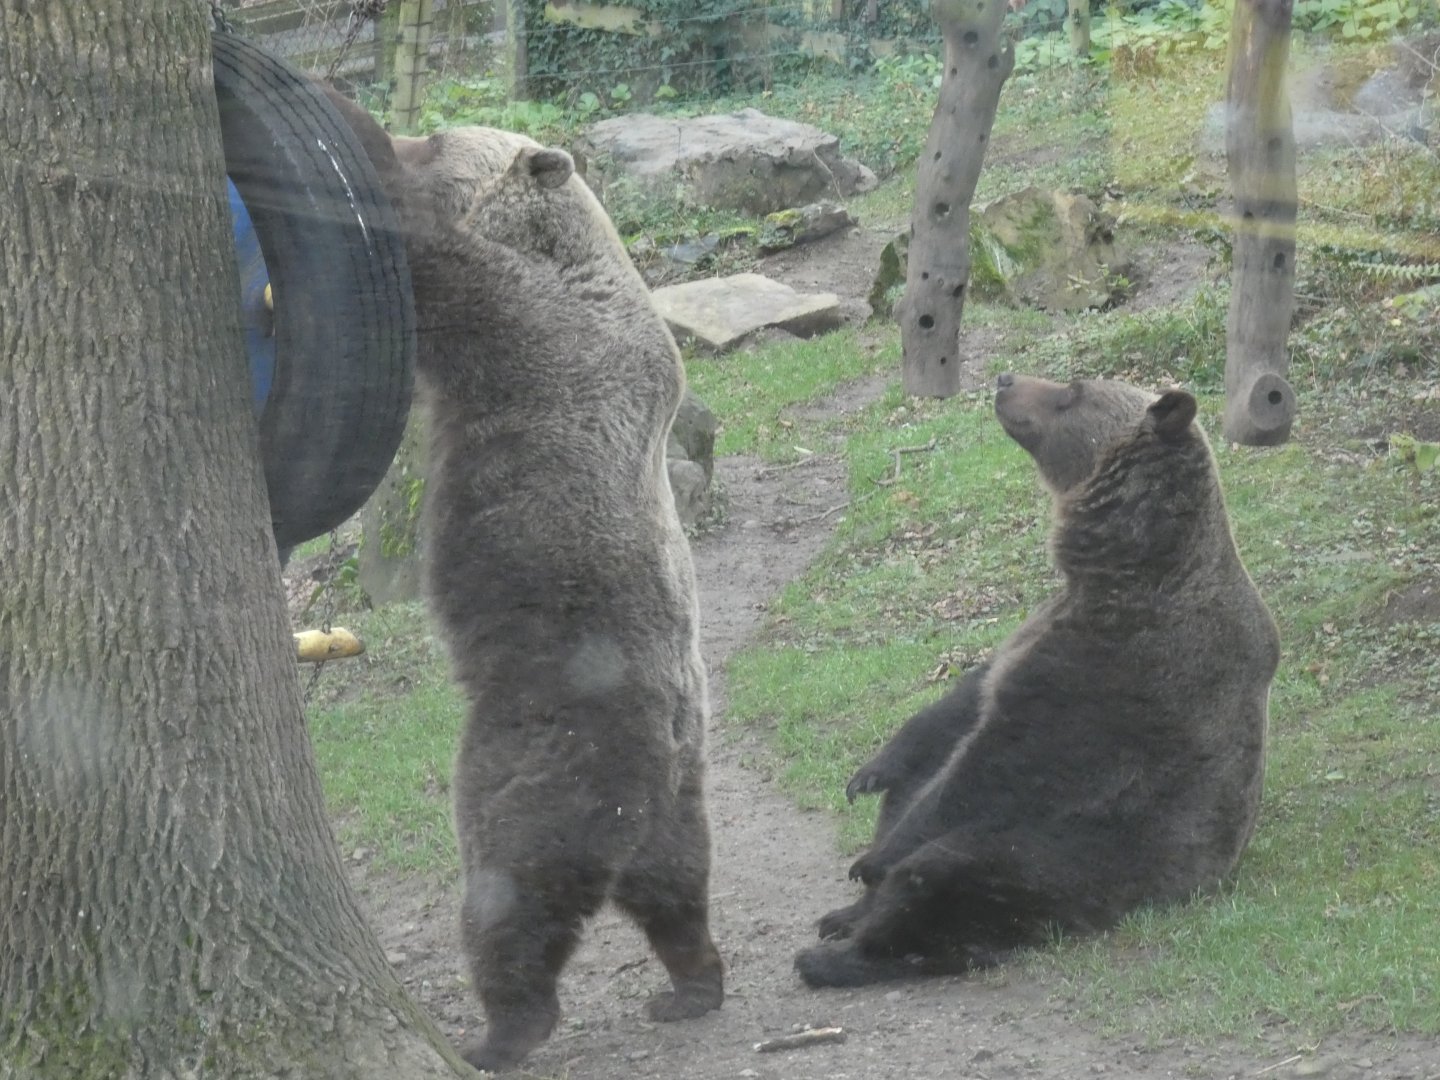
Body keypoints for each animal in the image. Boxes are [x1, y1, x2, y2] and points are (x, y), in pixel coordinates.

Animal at [324, 92, 725, 1070]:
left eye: (440, 140)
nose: (417, 128)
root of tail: (648, 773)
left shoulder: (516, 319)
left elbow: (422, 253)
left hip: (545, 756)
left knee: (510, 895)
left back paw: (499, 1031)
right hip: (678, 796)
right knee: (678, 890)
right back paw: (690, 985)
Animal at [795, 372, 1280, 988]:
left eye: (1071, 389)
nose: (1005, 379)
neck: (1122, 569)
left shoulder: (1108, 676)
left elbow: (989, 771)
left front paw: (869, 862)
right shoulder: (1040, 632)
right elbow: (961, 704)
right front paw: (871, 772)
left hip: (1067, 861)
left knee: (946, 880)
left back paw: (839, 953)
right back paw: (842, 916)